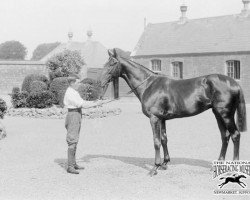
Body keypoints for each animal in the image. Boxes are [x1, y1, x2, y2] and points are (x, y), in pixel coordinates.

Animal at [99, 49, 246, 176]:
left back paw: (235, 166)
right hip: (217, 114)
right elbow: (164, 139)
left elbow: (156, 141)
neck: (149, 85)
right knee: (225, 136)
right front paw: (165, 163)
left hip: (226, 115)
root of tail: (234, 83)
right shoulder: (162, 119)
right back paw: (218, 165)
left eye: (112, 63)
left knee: (235, 135)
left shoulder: (154, 118)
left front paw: (155, 167)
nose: (100, 82)